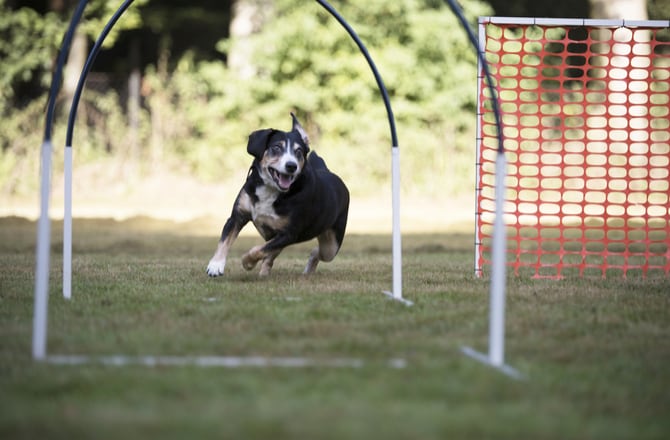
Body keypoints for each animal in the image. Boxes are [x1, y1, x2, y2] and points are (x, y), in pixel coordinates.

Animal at [206, 115, 352, 276]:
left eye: (298, 151)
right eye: (276, 148)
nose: (291, 166)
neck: (271, 190)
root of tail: (328, 171)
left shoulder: (288, 234)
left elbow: (260, 250)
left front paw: (247, 262)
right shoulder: (237, 217)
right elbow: (225, 240)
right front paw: (216, 265)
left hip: (331, 245)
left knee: (316, 252)